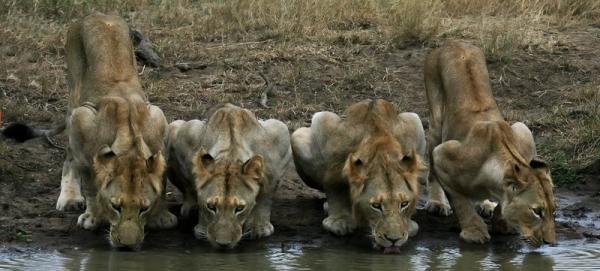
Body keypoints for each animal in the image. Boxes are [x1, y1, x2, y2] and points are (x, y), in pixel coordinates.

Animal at [54, 13, 176, 250]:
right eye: (115, 207)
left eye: (144, 208)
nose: (127, 247)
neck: (130, 145)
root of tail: (96, 14)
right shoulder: (82, 122)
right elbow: (91, 185)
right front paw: (92, 218)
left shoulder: (158, 119)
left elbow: (162, 178)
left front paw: (161, 216)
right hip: (74, 100)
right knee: (69, 154)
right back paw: (69, 198)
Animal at [165, 104, 292, 251]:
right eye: (211, 207)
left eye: (239, 208)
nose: (223, 244)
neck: (231, 154)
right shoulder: (186, 139)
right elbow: (192, 187)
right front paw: (202, 228)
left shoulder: (280, 145)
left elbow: (267, 194)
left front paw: (259, 228)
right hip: (176, 127)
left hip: (279, 125)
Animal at [290, 100, 426, 255]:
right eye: (376, 206)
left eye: (404, 204)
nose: (394, 240)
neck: (381, 152)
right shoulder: (334, 159)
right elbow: (334, 186)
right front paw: (340, 221)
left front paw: (408, 224)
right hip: (306, 129)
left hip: (415, 119)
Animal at [424, 41, 556, 248]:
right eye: (537, 211)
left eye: (553, 210)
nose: (550, 243)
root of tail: (454, 42)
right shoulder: (442, 154)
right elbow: (461, 203)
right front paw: (474, 232)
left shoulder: (524, 133)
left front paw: (502, 223)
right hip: (436, 122)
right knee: (431, 171)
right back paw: (437, 203)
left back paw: (485, 205)